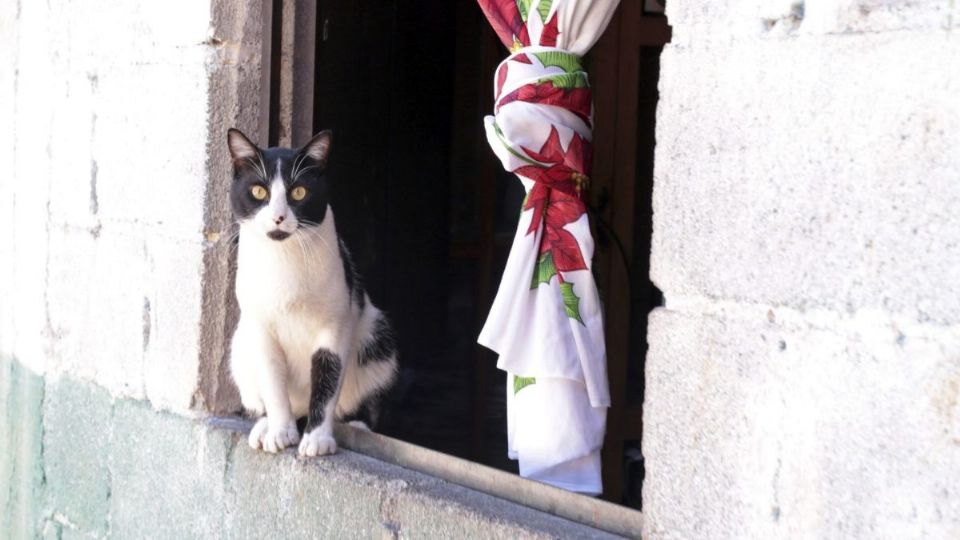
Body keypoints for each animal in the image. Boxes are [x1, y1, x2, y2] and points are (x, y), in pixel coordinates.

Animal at [227, 127, 396, 456]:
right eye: (259, 192)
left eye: (299, 193)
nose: (278, 217)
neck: (284, 259)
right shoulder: (261, 330)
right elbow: (273, 384)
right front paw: (280, 432)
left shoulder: (336, 325)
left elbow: (327, 381)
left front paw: (317, 440)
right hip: (241, 345)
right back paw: (265, 426)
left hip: (377, 338)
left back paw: (357, 425)